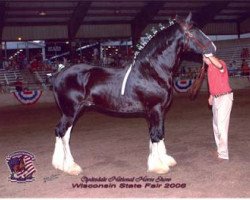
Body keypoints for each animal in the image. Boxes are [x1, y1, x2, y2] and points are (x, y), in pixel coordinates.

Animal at [51, 13, 217, 175]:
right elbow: (156, 135)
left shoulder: (158, 111)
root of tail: (60, 74)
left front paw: (163, 160)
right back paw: (71, 166)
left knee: (61, 132)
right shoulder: (155, 109)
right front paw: (158, 166)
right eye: (193, 31)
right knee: (63, 133)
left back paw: (59, 164)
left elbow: (158, 133)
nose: (213, 47)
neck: (152, 71)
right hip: (71, 111)